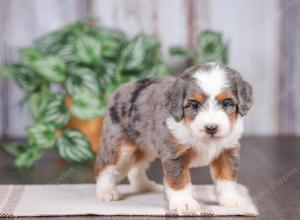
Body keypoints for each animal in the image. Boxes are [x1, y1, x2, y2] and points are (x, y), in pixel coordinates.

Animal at [95, 62, 252, 215]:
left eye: (226, 103)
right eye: (194, 105)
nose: (211, 128)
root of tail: (119, 89)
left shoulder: (227, 152)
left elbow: (227, 177)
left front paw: (231, 199)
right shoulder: (175, 155)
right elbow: (179, 180)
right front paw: (184, 203)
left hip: (146, 145)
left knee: (136, 168)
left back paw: (145, 187)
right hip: (118, 144)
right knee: (105, 167)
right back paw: (106, 192)